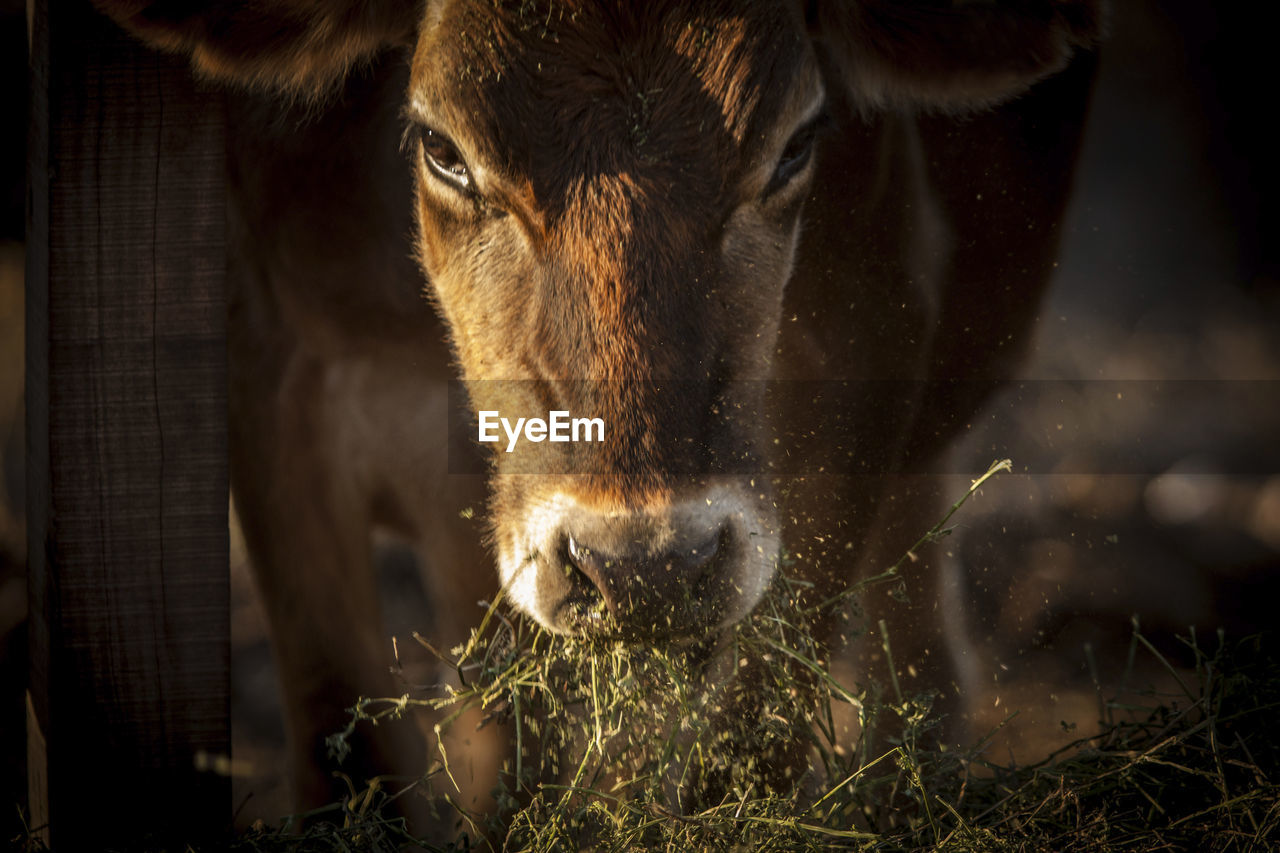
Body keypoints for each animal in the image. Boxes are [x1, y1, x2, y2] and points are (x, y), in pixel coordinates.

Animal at [97, 0, 1100, 829]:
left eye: (795, 146)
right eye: (443, 148)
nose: (645, 568)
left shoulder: (871, 337)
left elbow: (751, 752)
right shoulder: (272, 373)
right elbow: (356, 752)